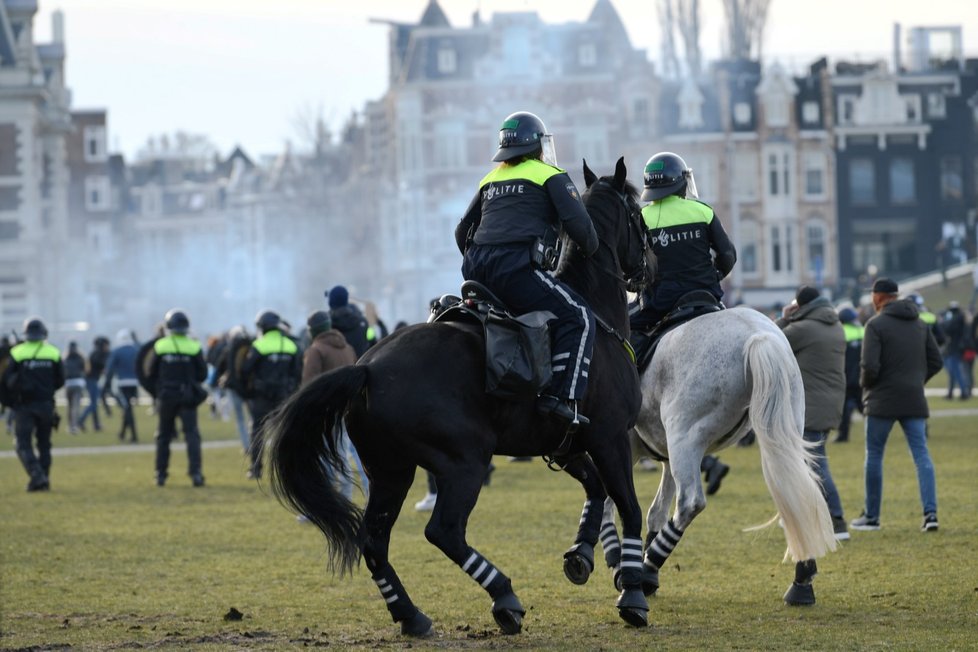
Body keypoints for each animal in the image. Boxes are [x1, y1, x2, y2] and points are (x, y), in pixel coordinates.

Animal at [264, 158, 652, 636]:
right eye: (637, 214)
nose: (648, 269)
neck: (593, 312)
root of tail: (368, 368)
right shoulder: (609, 439)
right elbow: (629, 507)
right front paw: (632, 594)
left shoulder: (567, 445)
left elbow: (596, 490)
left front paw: (580, 554)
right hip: (464, 462)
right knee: (444, 532)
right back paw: (503, 597)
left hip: (391, 471)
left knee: (374, 542)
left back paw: (411, 615)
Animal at [600, 306, 836, 608]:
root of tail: (756, 335)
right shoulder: (665, 457)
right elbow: (656, 511)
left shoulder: (621, 448)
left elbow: (608, 501)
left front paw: (611, 559)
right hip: (776, 436)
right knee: (796, 495)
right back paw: (802, 582)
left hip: (685, 439)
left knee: (690, 503)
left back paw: (646, 566)